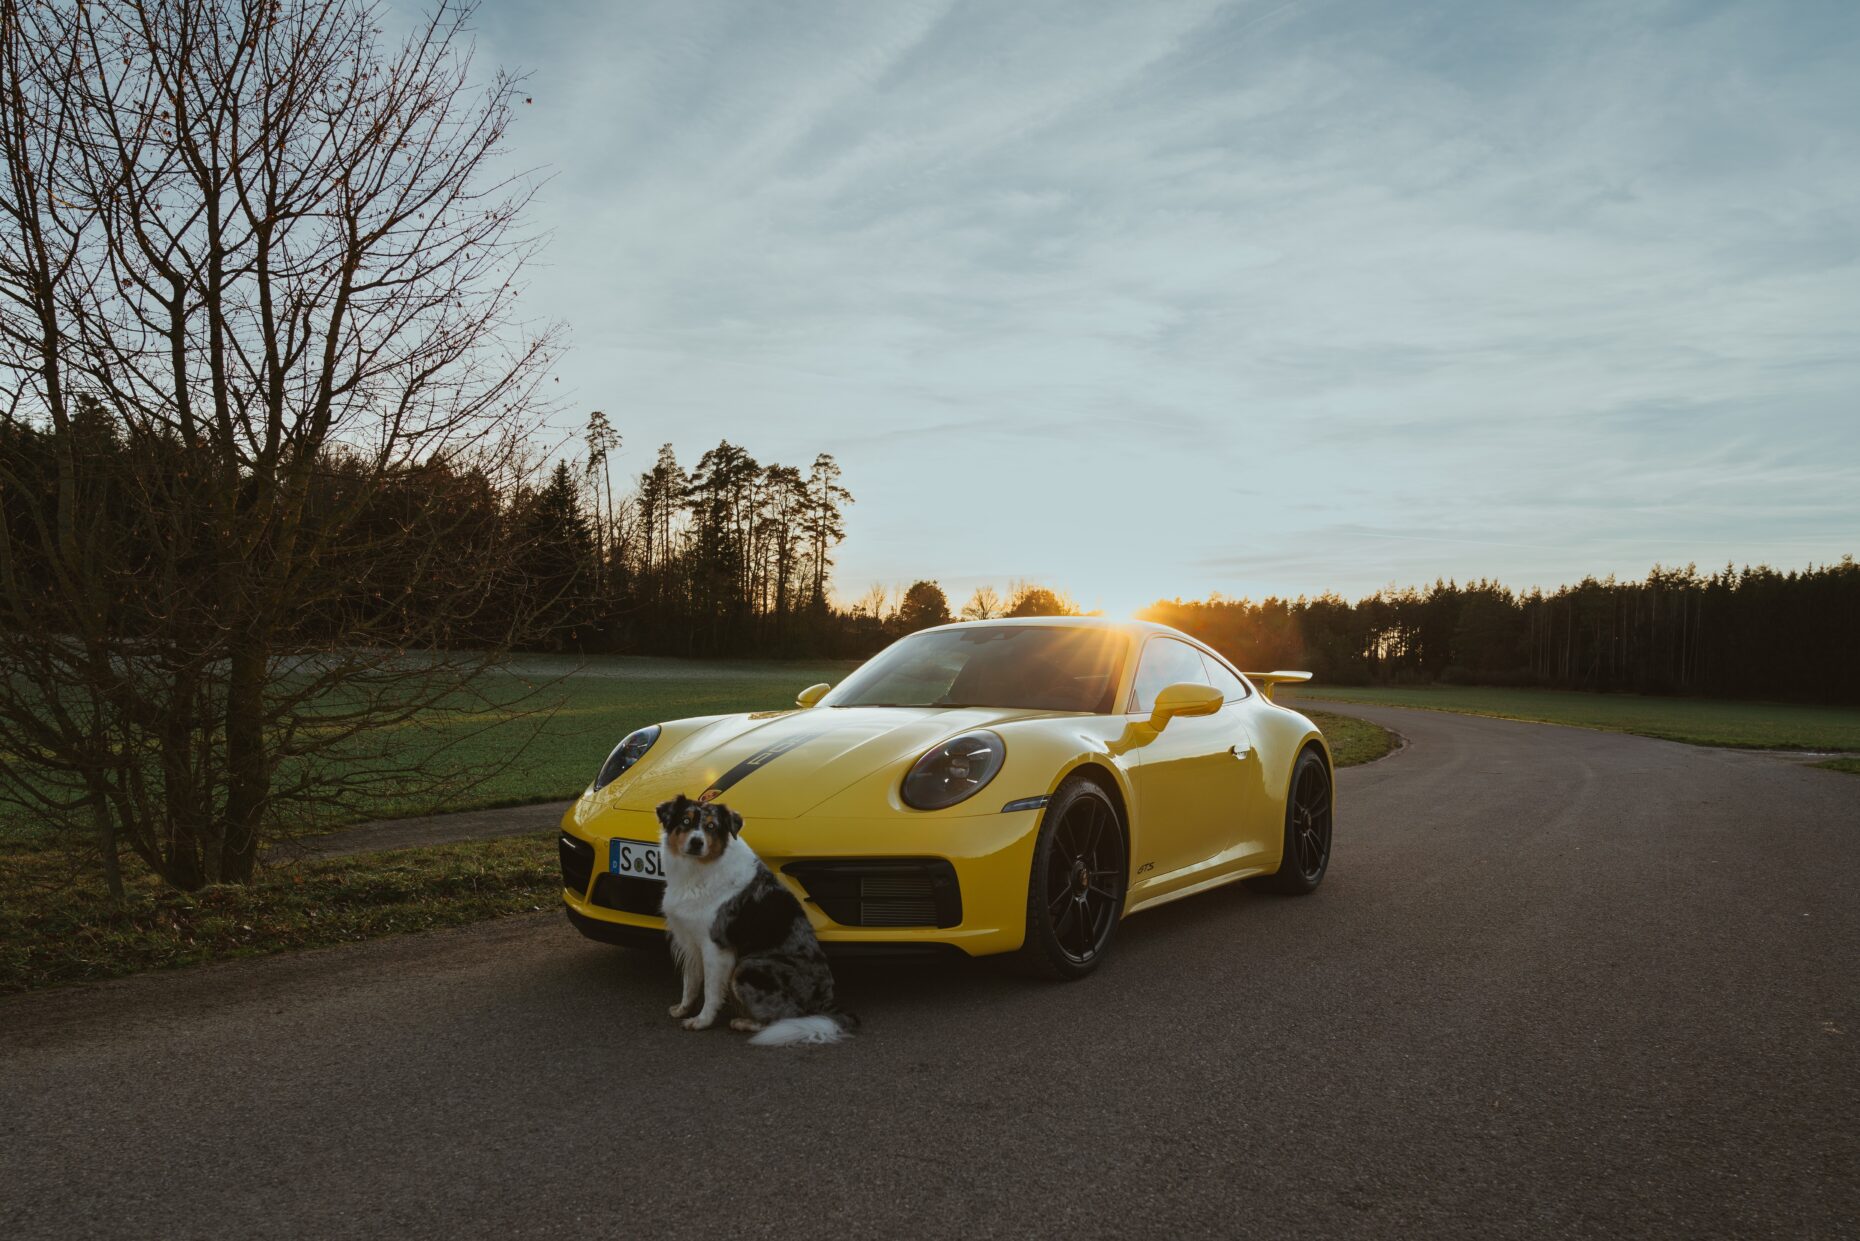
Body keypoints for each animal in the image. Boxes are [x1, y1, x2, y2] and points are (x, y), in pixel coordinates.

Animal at [658, 796, 851, 1049]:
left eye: (711, 826)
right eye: (686, 821)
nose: (697, 843)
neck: (699, 869)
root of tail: (826, 1005)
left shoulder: (715, 946)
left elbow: (710, 990)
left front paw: (701, 1022)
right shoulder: (689, 938)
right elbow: (690, 982)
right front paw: (682, 1010)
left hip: (747, 967)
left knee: (786, 1016)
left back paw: (744, 1022)